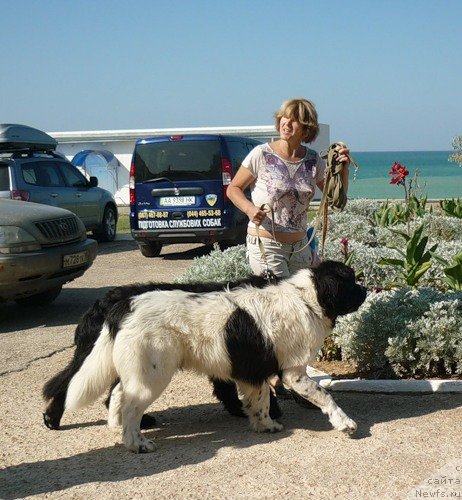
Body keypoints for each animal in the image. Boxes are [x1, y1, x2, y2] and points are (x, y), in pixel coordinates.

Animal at [45, 262, 366, 454]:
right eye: (350, 281)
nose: (365, 289)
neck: (306, 299)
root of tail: (123, 305)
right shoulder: (293, 371)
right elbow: (325, 396)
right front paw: (345, 423)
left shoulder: (254, 369)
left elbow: (260, 399)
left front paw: (264, 425)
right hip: (152, 376)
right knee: (130, 406)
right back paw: (137, 443)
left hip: (140, 371)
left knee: (119, 395)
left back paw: (117, 428)